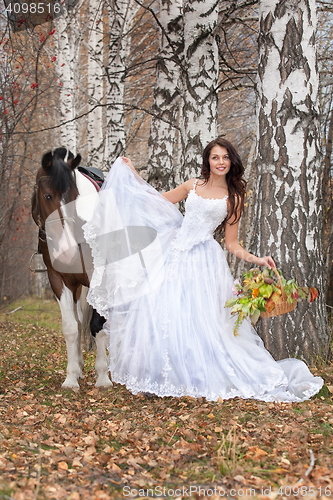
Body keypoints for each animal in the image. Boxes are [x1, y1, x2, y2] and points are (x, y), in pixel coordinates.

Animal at [31, 149, 111, 390]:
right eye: (47, 196)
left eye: (75, 197)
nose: (67, 252)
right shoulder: (58, 279)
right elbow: (71, 327)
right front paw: (71, 377)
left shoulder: (99, 278)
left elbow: (97, 325)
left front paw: (103, 377)